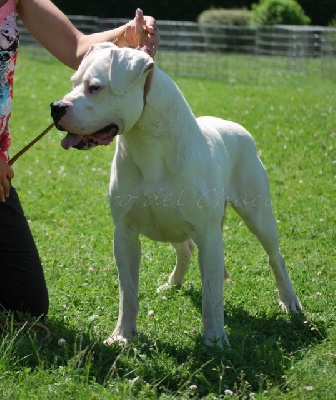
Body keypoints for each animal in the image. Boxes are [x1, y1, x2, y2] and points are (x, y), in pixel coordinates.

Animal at [51, 42, 304, 346]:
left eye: (95, 87)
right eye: (73, 83)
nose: (56, 108)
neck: (149, 146)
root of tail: (237, 127)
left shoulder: (208, 234)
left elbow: (212, 296)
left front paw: (216, 340)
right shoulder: (125, 234)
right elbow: (128, 292)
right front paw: (123, 335)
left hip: (258, 216)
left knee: (275, 256)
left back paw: (289, 300)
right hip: (173, 224)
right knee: (185, 250)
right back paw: (173, 284)